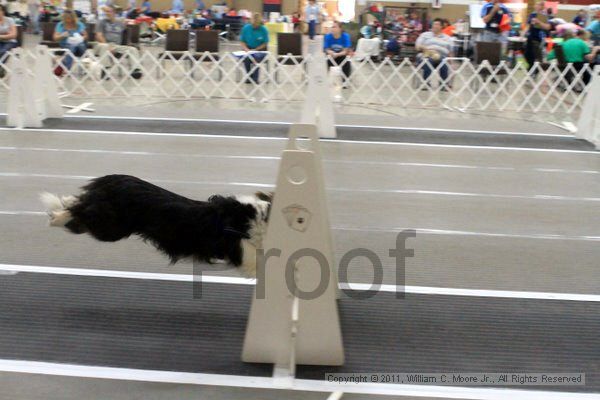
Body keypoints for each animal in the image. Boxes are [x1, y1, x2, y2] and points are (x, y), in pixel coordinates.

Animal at [42, 173, 274, 276]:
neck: (260, 216)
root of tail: (110, 179)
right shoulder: (246, 255)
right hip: (110, 228)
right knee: (79, 211)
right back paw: (55, 215)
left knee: (78, 204)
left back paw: (61, 206)